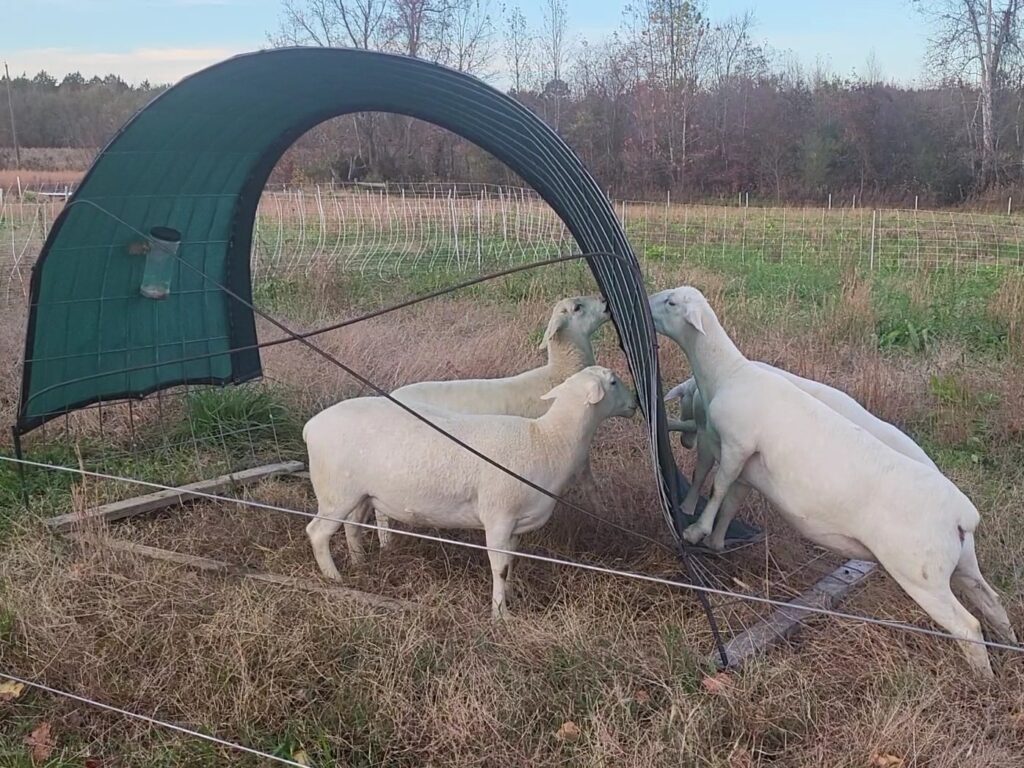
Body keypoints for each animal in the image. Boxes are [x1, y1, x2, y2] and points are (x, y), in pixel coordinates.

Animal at [303, 365, 637, 618]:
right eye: (613, 382)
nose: (635, 402)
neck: (547, 440)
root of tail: (311, 426)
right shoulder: (499, 516)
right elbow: (499, 566)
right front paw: (500, 615)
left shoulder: (516, 522)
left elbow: (510, 562)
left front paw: (511, 594)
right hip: (334, 491)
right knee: (318, 532)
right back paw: (335, 578)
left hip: (358, 492)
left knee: (352, 526)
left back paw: (360, 564)